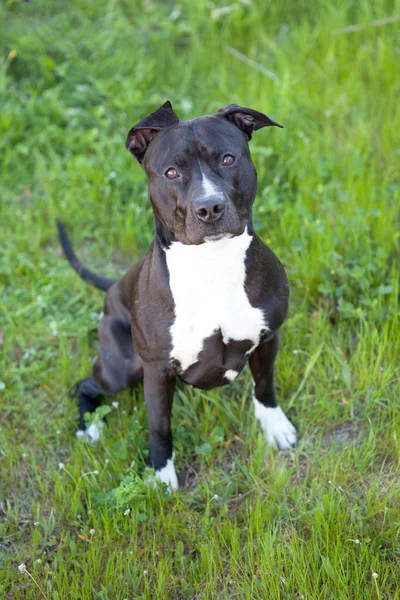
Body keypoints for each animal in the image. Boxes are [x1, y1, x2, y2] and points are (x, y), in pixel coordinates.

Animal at [58, 99, 296, 492]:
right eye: (171, 173)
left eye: (228, 159)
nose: (210, 207)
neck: (212, 263)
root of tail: (114, 287)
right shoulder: (155, 370)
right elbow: (159, 425)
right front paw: (161, 473)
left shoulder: (267, 338)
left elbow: (264, 386)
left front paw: (275, 427)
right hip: (122, 368)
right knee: (85, 386)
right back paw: (90, 429)